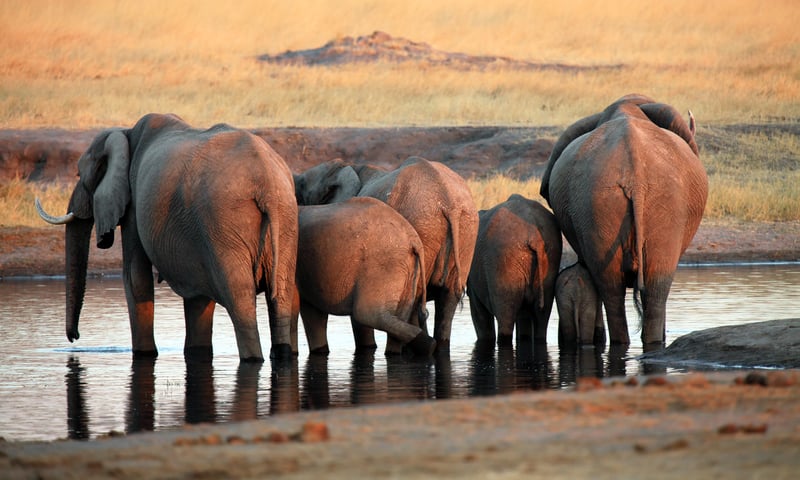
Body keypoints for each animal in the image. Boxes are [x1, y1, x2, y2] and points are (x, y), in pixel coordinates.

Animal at [35, 113, 299, 362]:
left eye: (79, 174)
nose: (75, 337)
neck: (125, 133)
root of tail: (266, 182)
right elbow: (197, 294)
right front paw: (196, 353)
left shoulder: (134, 203)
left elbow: (135, 276)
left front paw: (144, 355)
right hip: (283, 217)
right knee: (283, 294)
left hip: (224, 221)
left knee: (240, 300)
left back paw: (253, 359)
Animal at [295, 197, 435, 356]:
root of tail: (414, 240)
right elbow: (314, 313)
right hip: (408, 270)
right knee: (398, 316)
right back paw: (423, 347)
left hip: (383, 266)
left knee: (366, 314)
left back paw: (429, 346)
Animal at [466, 194, 562, 346]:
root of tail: (535, 236)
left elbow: (479, 315)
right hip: (550, 255)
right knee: (541, 320)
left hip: (502, 262)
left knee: (505, 320)